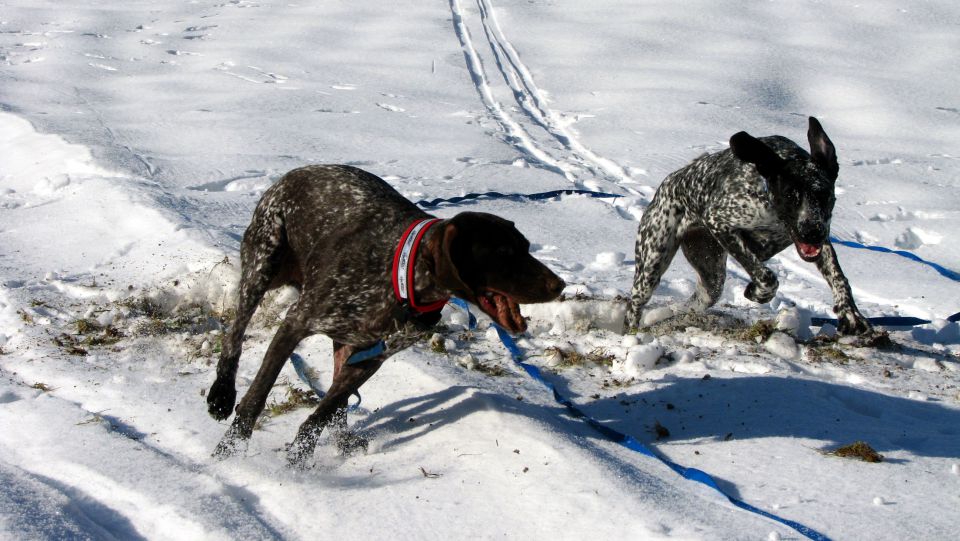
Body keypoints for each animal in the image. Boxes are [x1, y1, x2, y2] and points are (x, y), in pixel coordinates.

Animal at [204, 165, 564, 464]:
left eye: (526, 247)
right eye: (504, 252)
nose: (559, 285)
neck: (403, 280)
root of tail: (294, 173)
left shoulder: (370, 358)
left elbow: (324, 412)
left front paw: (299, 458)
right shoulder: (295, 324)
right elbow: (256, 398)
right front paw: (229, 452)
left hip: (345, 344)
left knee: (337, 406)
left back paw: (344, 440)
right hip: (262, 267)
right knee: (235, 335)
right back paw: (221, 394)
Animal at [628, 117, 872, 334]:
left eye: (824, 194)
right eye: (790, 195)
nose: (811, 232)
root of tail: (668, 183)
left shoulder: (823, 238)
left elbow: (839, 277)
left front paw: (851, 314)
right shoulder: (719, 222)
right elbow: (765, 275)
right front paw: (757, 292)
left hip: (710, 276)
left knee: (695, 301)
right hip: (652, 264)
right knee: (635, 305)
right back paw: (632, 330)